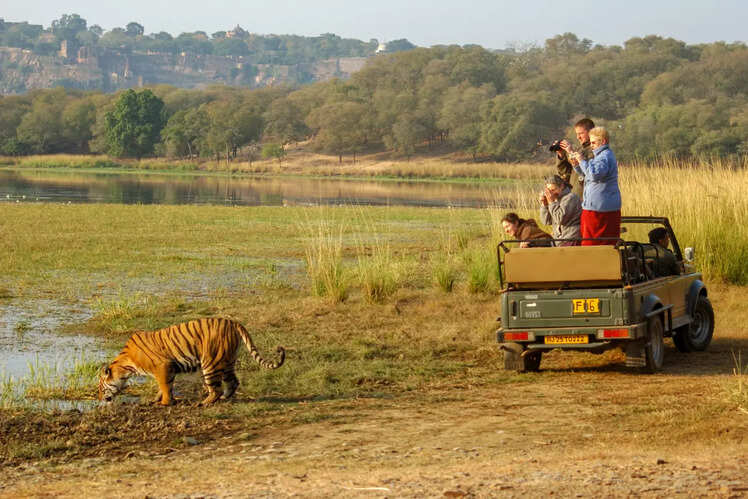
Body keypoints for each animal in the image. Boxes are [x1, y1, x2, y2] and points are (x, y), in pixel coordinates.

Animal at [98, 317, 285, 406]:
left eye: (100, 387)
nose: (100, 398)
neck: (126, 365)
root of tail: (233, 322)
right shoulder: (168, 370)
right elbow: (164, 387)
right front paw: (156, 400)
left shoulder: (163, 367)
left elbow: (165, 387)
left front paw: (165, 403)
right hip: (227, 361)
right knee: (233, 382)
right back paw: (224, 398)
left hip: (210, 363)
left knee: (215, 389)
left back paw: (203, 403)